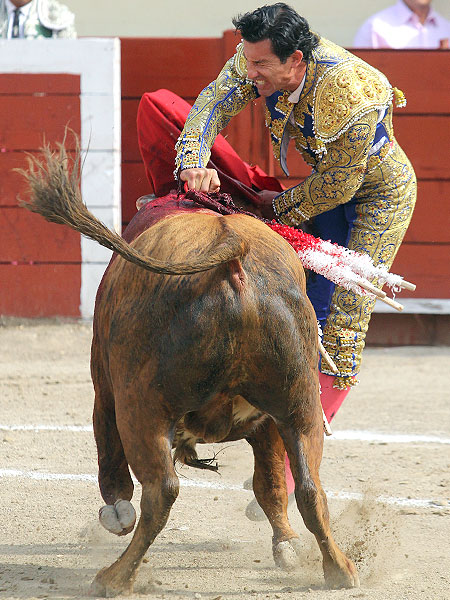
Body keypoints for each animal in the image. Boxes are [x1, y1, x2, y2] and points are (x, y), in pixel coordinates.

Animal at [20, 144, 358, 596]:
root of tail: (234, 257)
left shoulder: (103, 388)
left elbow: (110, 458)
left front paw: (116, 514)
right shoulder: (268, 421)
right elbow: (271, 484)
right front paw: (286, 545)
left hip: (141, 406)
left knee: (160, 491)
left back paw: (114, 576)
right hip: (298, 402)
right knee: (309, 487)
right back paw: (339, 568)